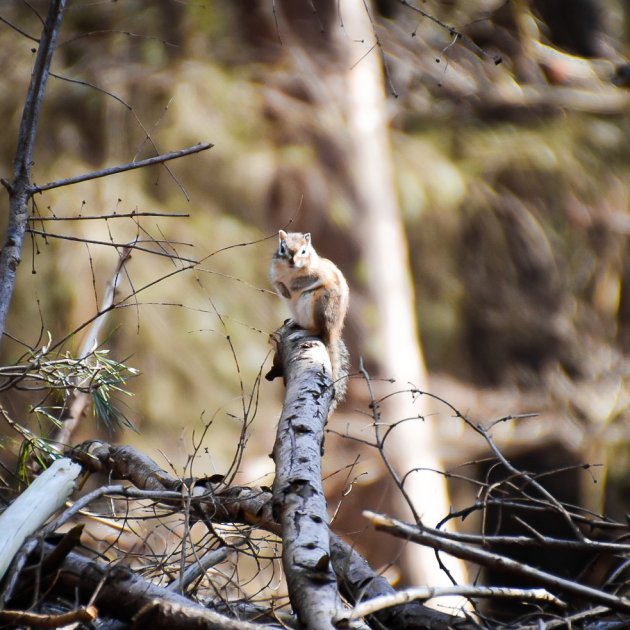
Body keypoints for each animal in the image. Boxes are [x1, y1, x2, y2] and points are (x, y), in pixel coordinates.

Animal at [270, 228, 354, 410]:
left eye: (303, 251)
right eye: (282, 248)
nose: (292, 261)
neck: (290, 272)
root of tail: (333, 330)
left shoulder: (320, 274)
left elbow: (307, 280)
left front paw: (294, 286)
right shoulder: (273, 273)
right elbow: (277, 283)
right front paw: (284, 289)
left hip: (315, 302)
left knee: (318, 330)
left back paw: (302, 333)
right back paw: (294, 323)